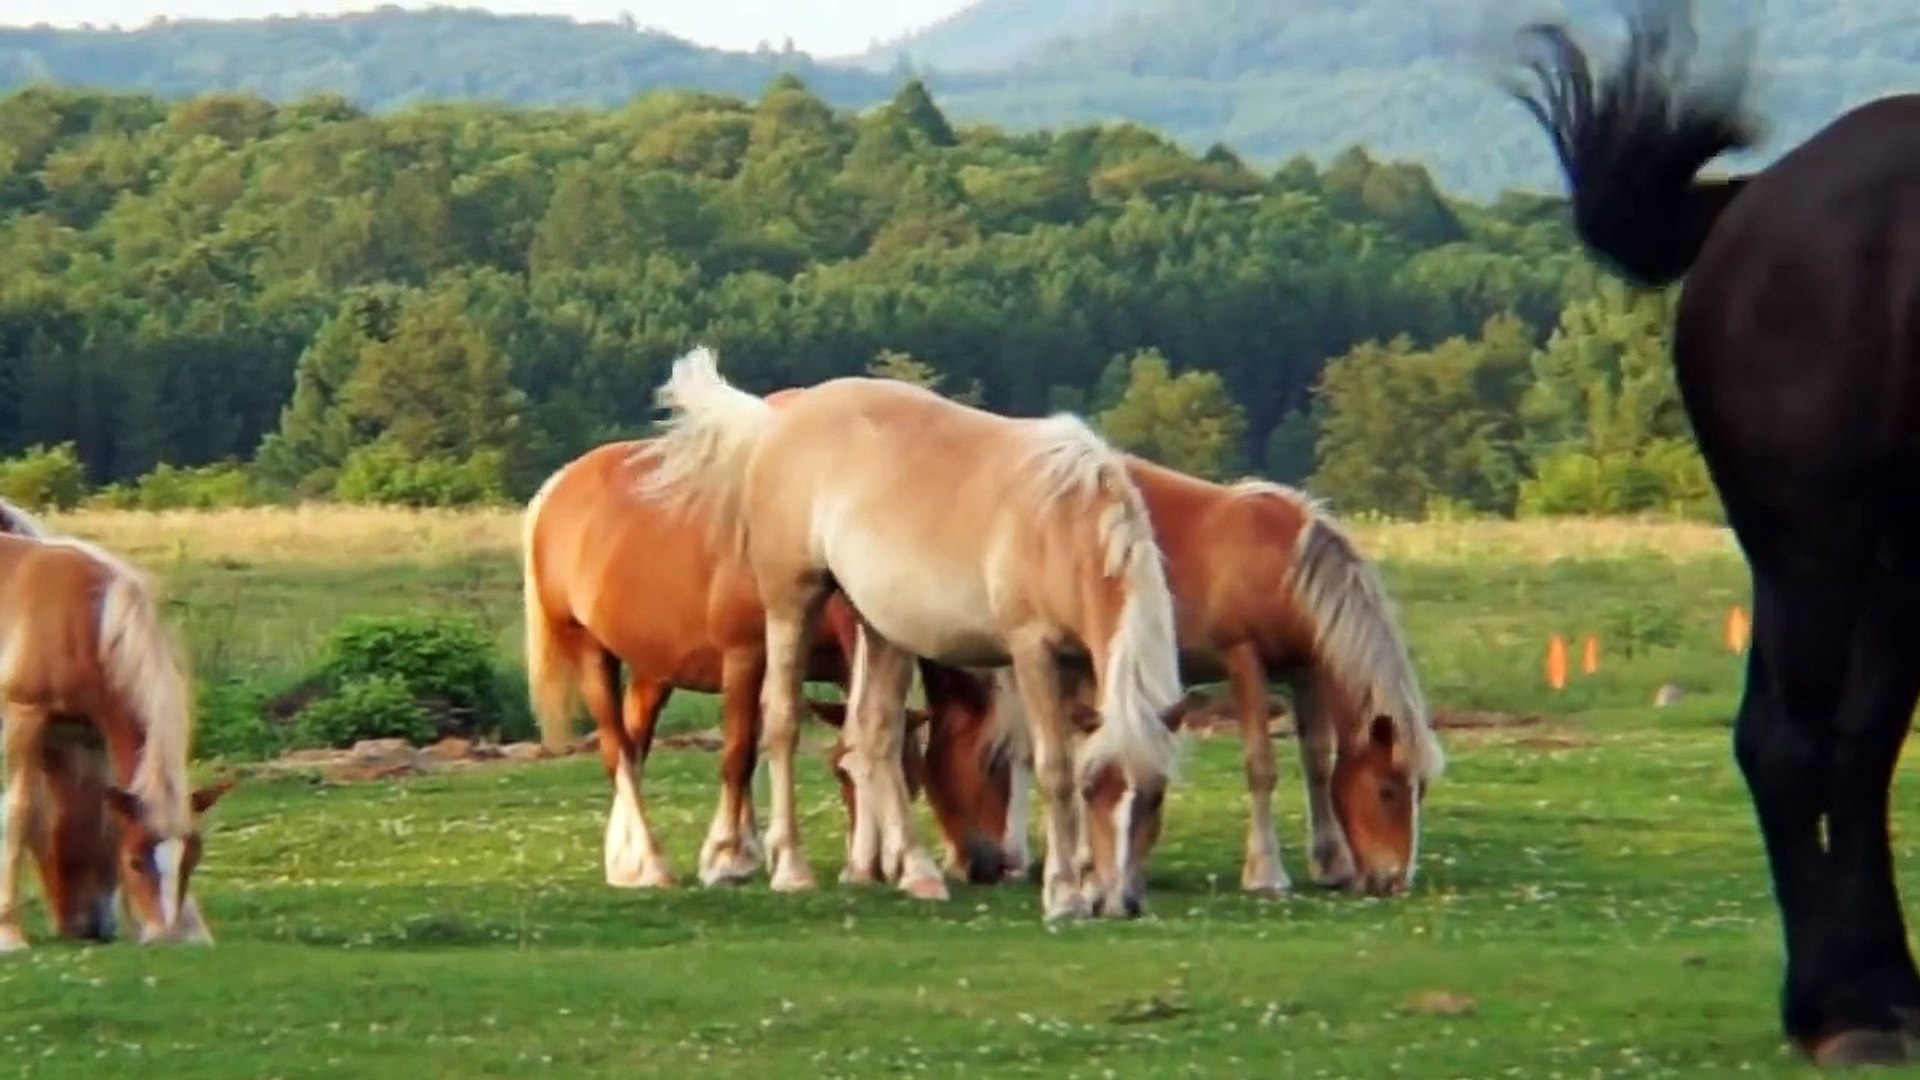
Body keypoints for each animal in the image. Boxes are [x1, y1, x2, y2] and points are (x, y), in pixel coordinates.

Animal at [0, 530, 231, 949]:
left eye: (192, 859)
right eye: (135, 862)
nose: (166, 936)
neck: (86, 622)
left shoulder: (88, 738)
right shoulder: (25, 715)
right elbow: (19, 812)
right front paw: (8, 933)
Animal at [522, 438, 1021, 892]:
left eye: (913, 775)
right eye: (989, 761)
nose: (997, 865)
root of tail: (557, 487)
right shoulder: (747, 655)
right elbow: (739, 753)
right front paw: (728, 858)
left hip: (654, 668)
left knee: (634, 740)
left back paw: (625, 860)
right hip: (590, 652)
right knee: (617, 751)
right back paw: (651, 862)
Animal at [643, 348, 1183, 921]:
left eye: (1155, 794)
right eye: (1099, 789)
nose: (1124, 902)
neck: (1064, 525)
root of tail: (777, 424)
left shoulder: (1082, 663)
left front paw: (1084, 881)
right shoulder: (1033, 653)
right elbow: (1055, 766)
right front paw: (1063, 894)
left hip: (880, 628)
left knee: (877, 735)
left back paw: (918, 872)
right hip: (793, 602)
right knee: (783, 721)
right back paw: (791, 867)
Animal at [833, 459, 1445, 899]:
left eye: (1420, 791)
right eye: (1388, 790)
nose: (1395, 881)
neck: (1285, 564)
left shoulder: (1305, 673)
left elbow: (1317, 761)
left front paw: (1331, 861)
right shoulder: (1244, 662)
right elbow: (1261, 766)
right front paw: (1266, 872)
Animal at [1502, 0, 1920, 1065]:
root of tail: (1757, 195)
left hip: (1888, 562)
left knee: (1855, 750)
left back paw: (1883, 992)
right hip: (1813, 543)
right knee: (1790, 745)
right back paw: (1842, 1012)